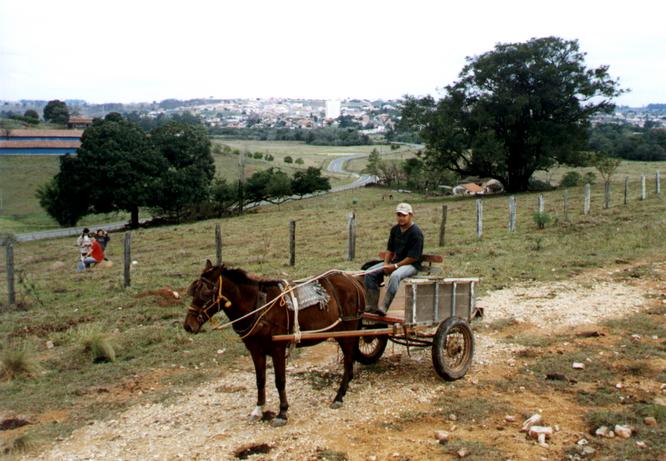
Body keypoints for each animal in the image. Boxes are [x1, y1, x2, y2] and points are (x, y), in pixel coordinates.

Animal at [182, 260, 364, 426]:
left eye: (206, 292)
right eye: (194, 291)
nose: (188, 325)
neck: (259, 307)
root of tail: (352, 280)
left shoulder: (277, 349)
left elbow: (280, 381)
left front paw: (282, 412)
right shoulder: (255, 350)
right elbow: (260, 380)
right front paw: (258, 409)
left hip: (347, 333)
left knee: (348, 363)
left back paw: (339, 396)